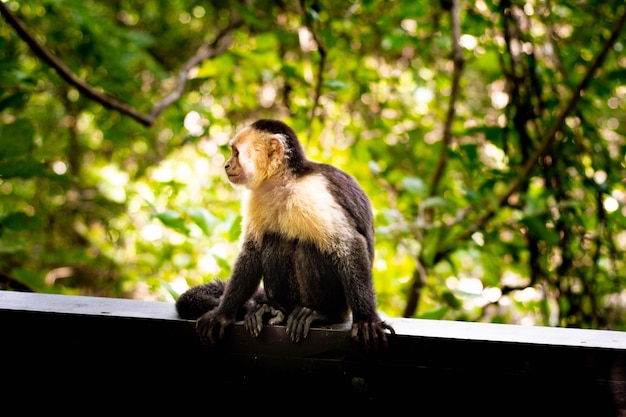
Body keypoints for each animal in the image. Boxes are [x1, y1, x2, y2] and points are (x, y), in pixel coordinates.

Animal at [174, 118, 390, 352]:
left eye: (236, 153)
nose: (226, 165)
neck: (282, 181)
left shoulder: (312, 192)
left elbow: (349, 244)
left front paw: (367, 320)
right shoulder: (257, 196)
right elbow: (252, 251)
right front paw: (223, 314)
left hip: (339, 303)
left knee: (308, 245)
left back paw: (321, 313)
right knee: (275, 240)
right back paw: (275, 310)